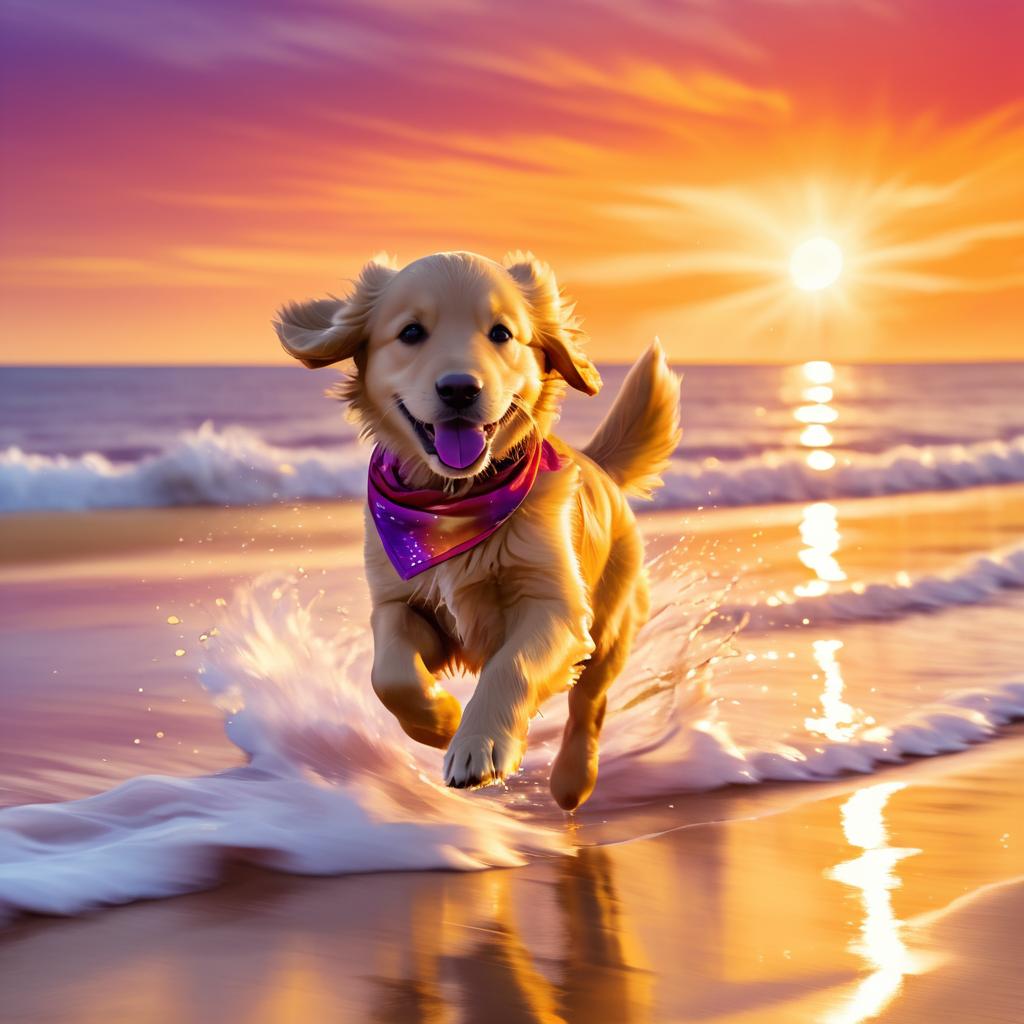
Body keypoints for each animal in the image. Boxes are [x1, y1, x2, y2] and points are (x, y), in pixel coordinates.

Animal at [276, 249, 684, 806]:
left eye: (501, 333)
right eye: (410, 332)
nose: (459, 389)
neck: (455, 502)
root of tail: (598, 464)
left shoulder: (555, 606)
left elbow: (511, 666)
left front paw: (479, 744)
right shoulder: (401, 601)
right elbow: (390, 673)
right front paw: (444, 721)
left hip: (609, 625)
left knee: (590, 702)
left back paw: (572, 779)